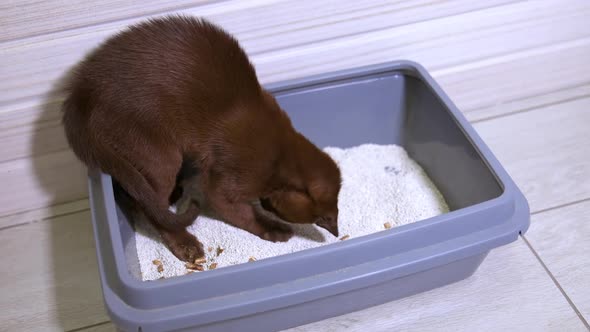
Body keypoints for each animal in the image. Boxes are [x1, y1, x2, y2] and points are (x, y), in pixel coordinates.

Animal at [62, 16, 342, 262]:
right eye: (318, 219)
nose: (335, 230)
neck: (281, 153)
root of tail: (80, 95)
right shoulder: (226, 185)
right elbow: (243, 213)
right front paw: (273, 228)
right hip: (160, 155)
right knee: (150, 207)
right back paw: (186, 244)